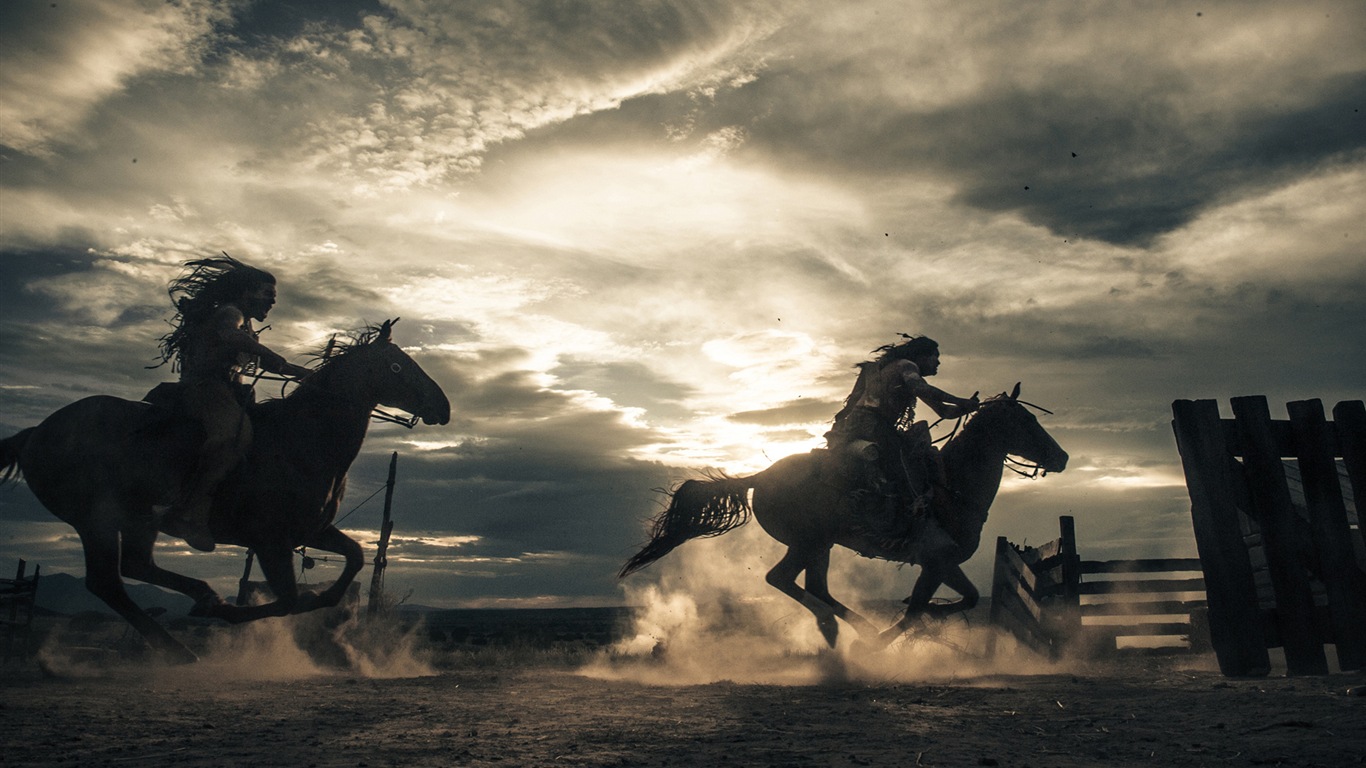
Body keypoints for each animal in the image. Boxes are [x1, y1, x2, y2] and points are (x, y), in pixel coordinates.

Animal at [0, 317, 450, 658]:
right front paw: (234, 614)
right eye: (397, 366)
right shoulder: (270, 541)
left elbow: (354, 559)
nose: (443, 406)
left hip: (133, 521)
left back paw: (194, 616)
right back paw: (187, 635)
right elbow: (289, 599)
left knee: (131, 571)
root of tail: (34, 433)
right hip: (98, 521)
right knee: (109, 582)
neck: (299, 439)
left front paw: (326, 608)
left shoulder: (312, 531)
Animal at [620, 382, 1065, 645]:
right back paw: (840, 628)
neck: (952, 485)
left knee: (814, 587)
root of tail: (761, 475)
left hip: (822, 545)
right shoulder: (936, 562)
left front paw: (922, 621)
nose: (1061, 457)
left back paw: (846, 629)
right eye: (1026, 420)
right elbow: (925, 607)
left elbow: (960, 600)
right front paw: (893, 636)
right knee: (782, 579)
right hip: (809, 541)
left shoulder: (940, 563)